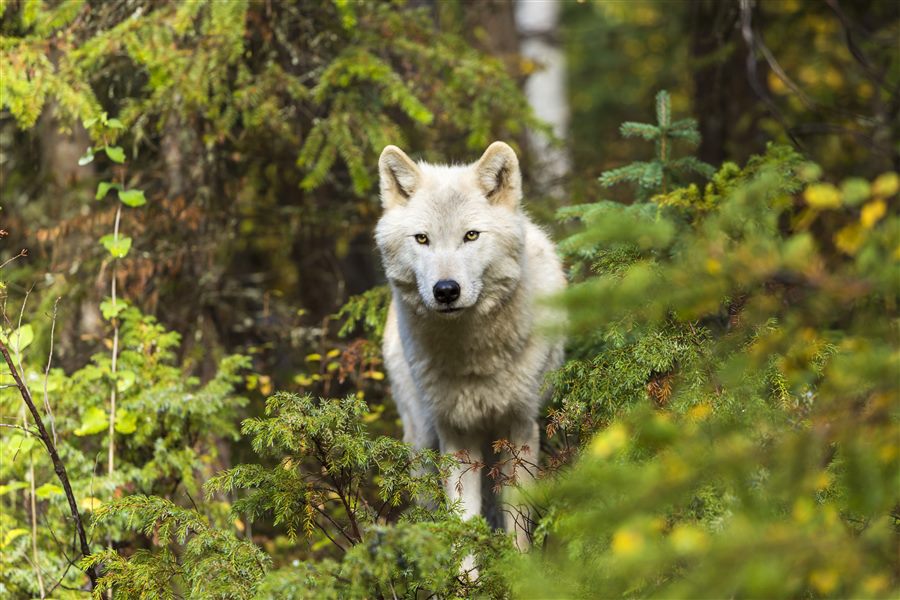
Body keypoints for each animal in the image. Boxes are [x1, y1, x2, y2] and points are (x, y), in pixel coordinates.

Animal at [375, 141, 565, 550]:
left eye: (471, 236)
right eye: (422, 239)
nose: (446, 290)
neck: (475, 358)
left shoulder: (520, 427)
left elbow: (517, 523)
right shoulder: (456, 433)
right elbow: (462, 522)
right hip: (421, 442)